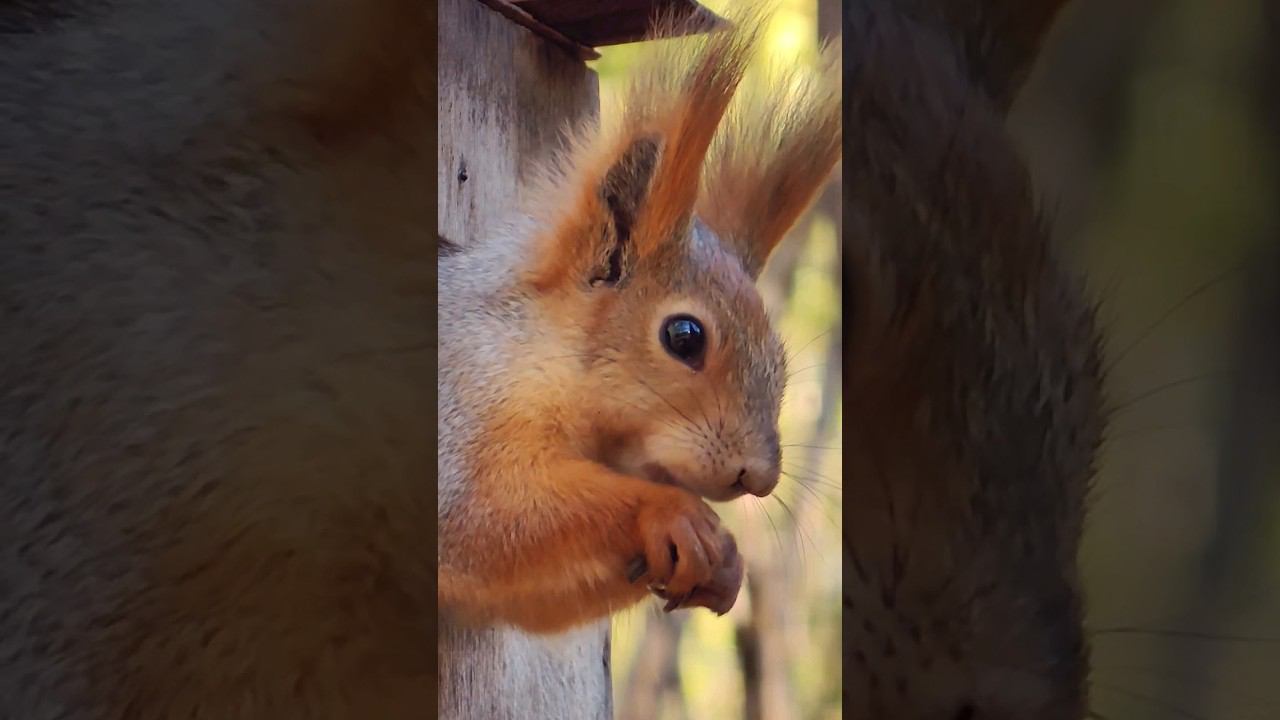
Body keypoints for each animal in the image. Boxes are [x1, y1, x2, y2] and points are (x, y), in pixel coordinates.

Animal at [437, 5, 841, 634]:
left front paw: (726, 564)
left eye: (778, 357)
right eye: (684, 337)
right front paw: (670, 511)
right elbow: (480, 517)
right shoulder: (456, 415)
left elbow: (524, 602)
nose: (760, 477)